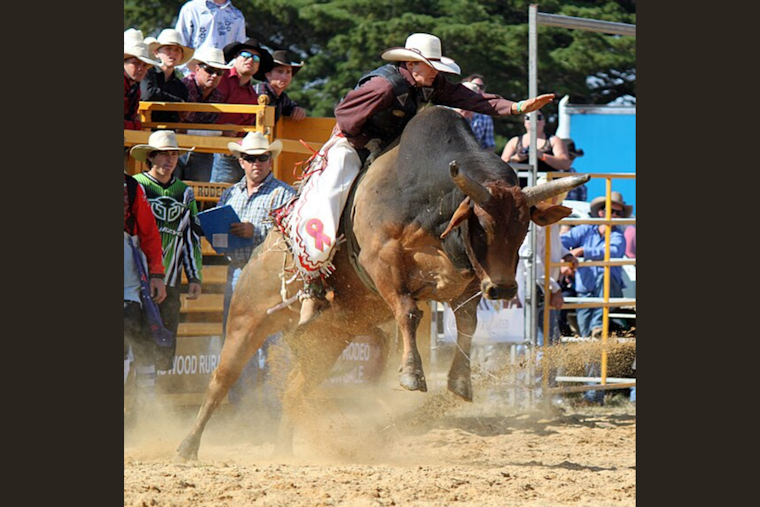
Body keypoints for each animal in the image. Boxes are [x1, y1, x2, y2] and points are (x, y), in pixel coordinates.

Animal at [176, 106, 588, 460]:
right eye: (483, 226)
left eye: (522, 228)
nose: (503, 289)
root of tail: (266, 244)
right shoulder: (382, 263)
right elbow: (408, 312)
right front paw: (411, 374)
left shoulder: (467, 281)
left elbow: (468, 323)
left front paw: (460, 382)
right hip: (248, 319)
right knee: (222, 379)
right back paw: (188, 446)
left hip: (330, 337)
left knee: (295, 388)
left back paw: (283, 449)